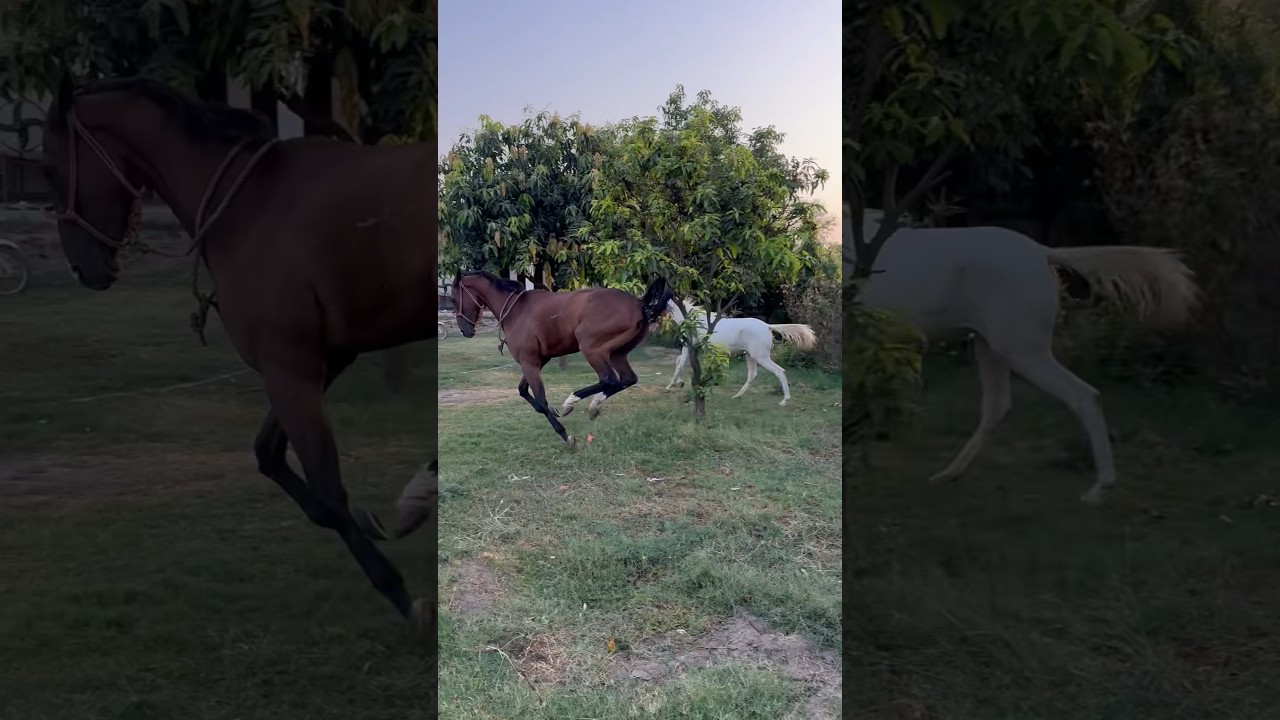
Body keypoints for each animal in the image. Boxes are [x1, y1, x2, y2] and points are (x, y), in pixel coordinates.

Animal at [39, 74, 437, 634]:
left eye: (49, 168)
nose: (83, 267)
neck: (249, 206)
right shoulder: (323, 360)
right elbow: (271, 458)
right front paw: (408, 505)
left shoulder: (290, 370)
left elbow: (327, 489)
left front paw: (404, 596)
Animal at [451, 271, 672, 444]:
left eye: (453, 298)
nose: (464, 330)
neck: (516, 310)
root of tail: (638, 303)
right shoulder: (540, 360)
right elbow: (523, 391)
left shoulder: (529, 362)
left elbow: (540, 401)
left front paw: (566, 435)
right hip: (618, 354)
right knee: (627, 379)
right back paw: (593, 406)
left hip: (591, 349)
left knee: (609, 379)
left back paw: (571, 402)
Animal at [663, 300, 817, 405]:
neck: (693, 320)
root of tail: (767, 326)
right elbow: (679, 362)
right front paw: (679, 383)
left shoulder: (688, 346)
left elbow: (680, 364)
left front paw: (670, 386)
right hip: (750, 355)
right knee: (752, 375)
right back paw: (737, 396)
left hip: (761, 357)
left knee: (779, 371)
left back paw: (785, 401)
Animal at [847, 207, 1199, 504]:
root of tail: (1043, 253)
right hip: (989, 344)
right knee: (998, 405)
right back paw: (949, 474)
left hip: (1022, 346)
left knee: (1084, 396)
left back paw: (1099, 489)